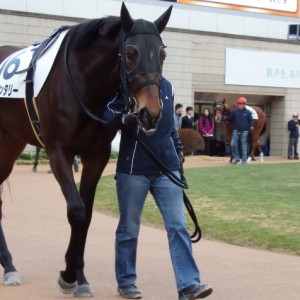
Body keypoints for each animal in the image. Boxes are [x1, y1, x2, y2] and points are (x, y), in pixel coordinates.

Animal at [0, 2, 172, 296]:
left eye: (162, 54)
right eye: (130, 53)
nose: (150, 114)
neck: (81, 82)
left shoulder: (97, 155)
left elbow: (87, 214)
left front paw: (78, 276)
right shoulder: (58, 152)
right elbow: (77, 212)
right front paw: (69, 275)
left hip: (10, 143)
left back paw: (9, 265)